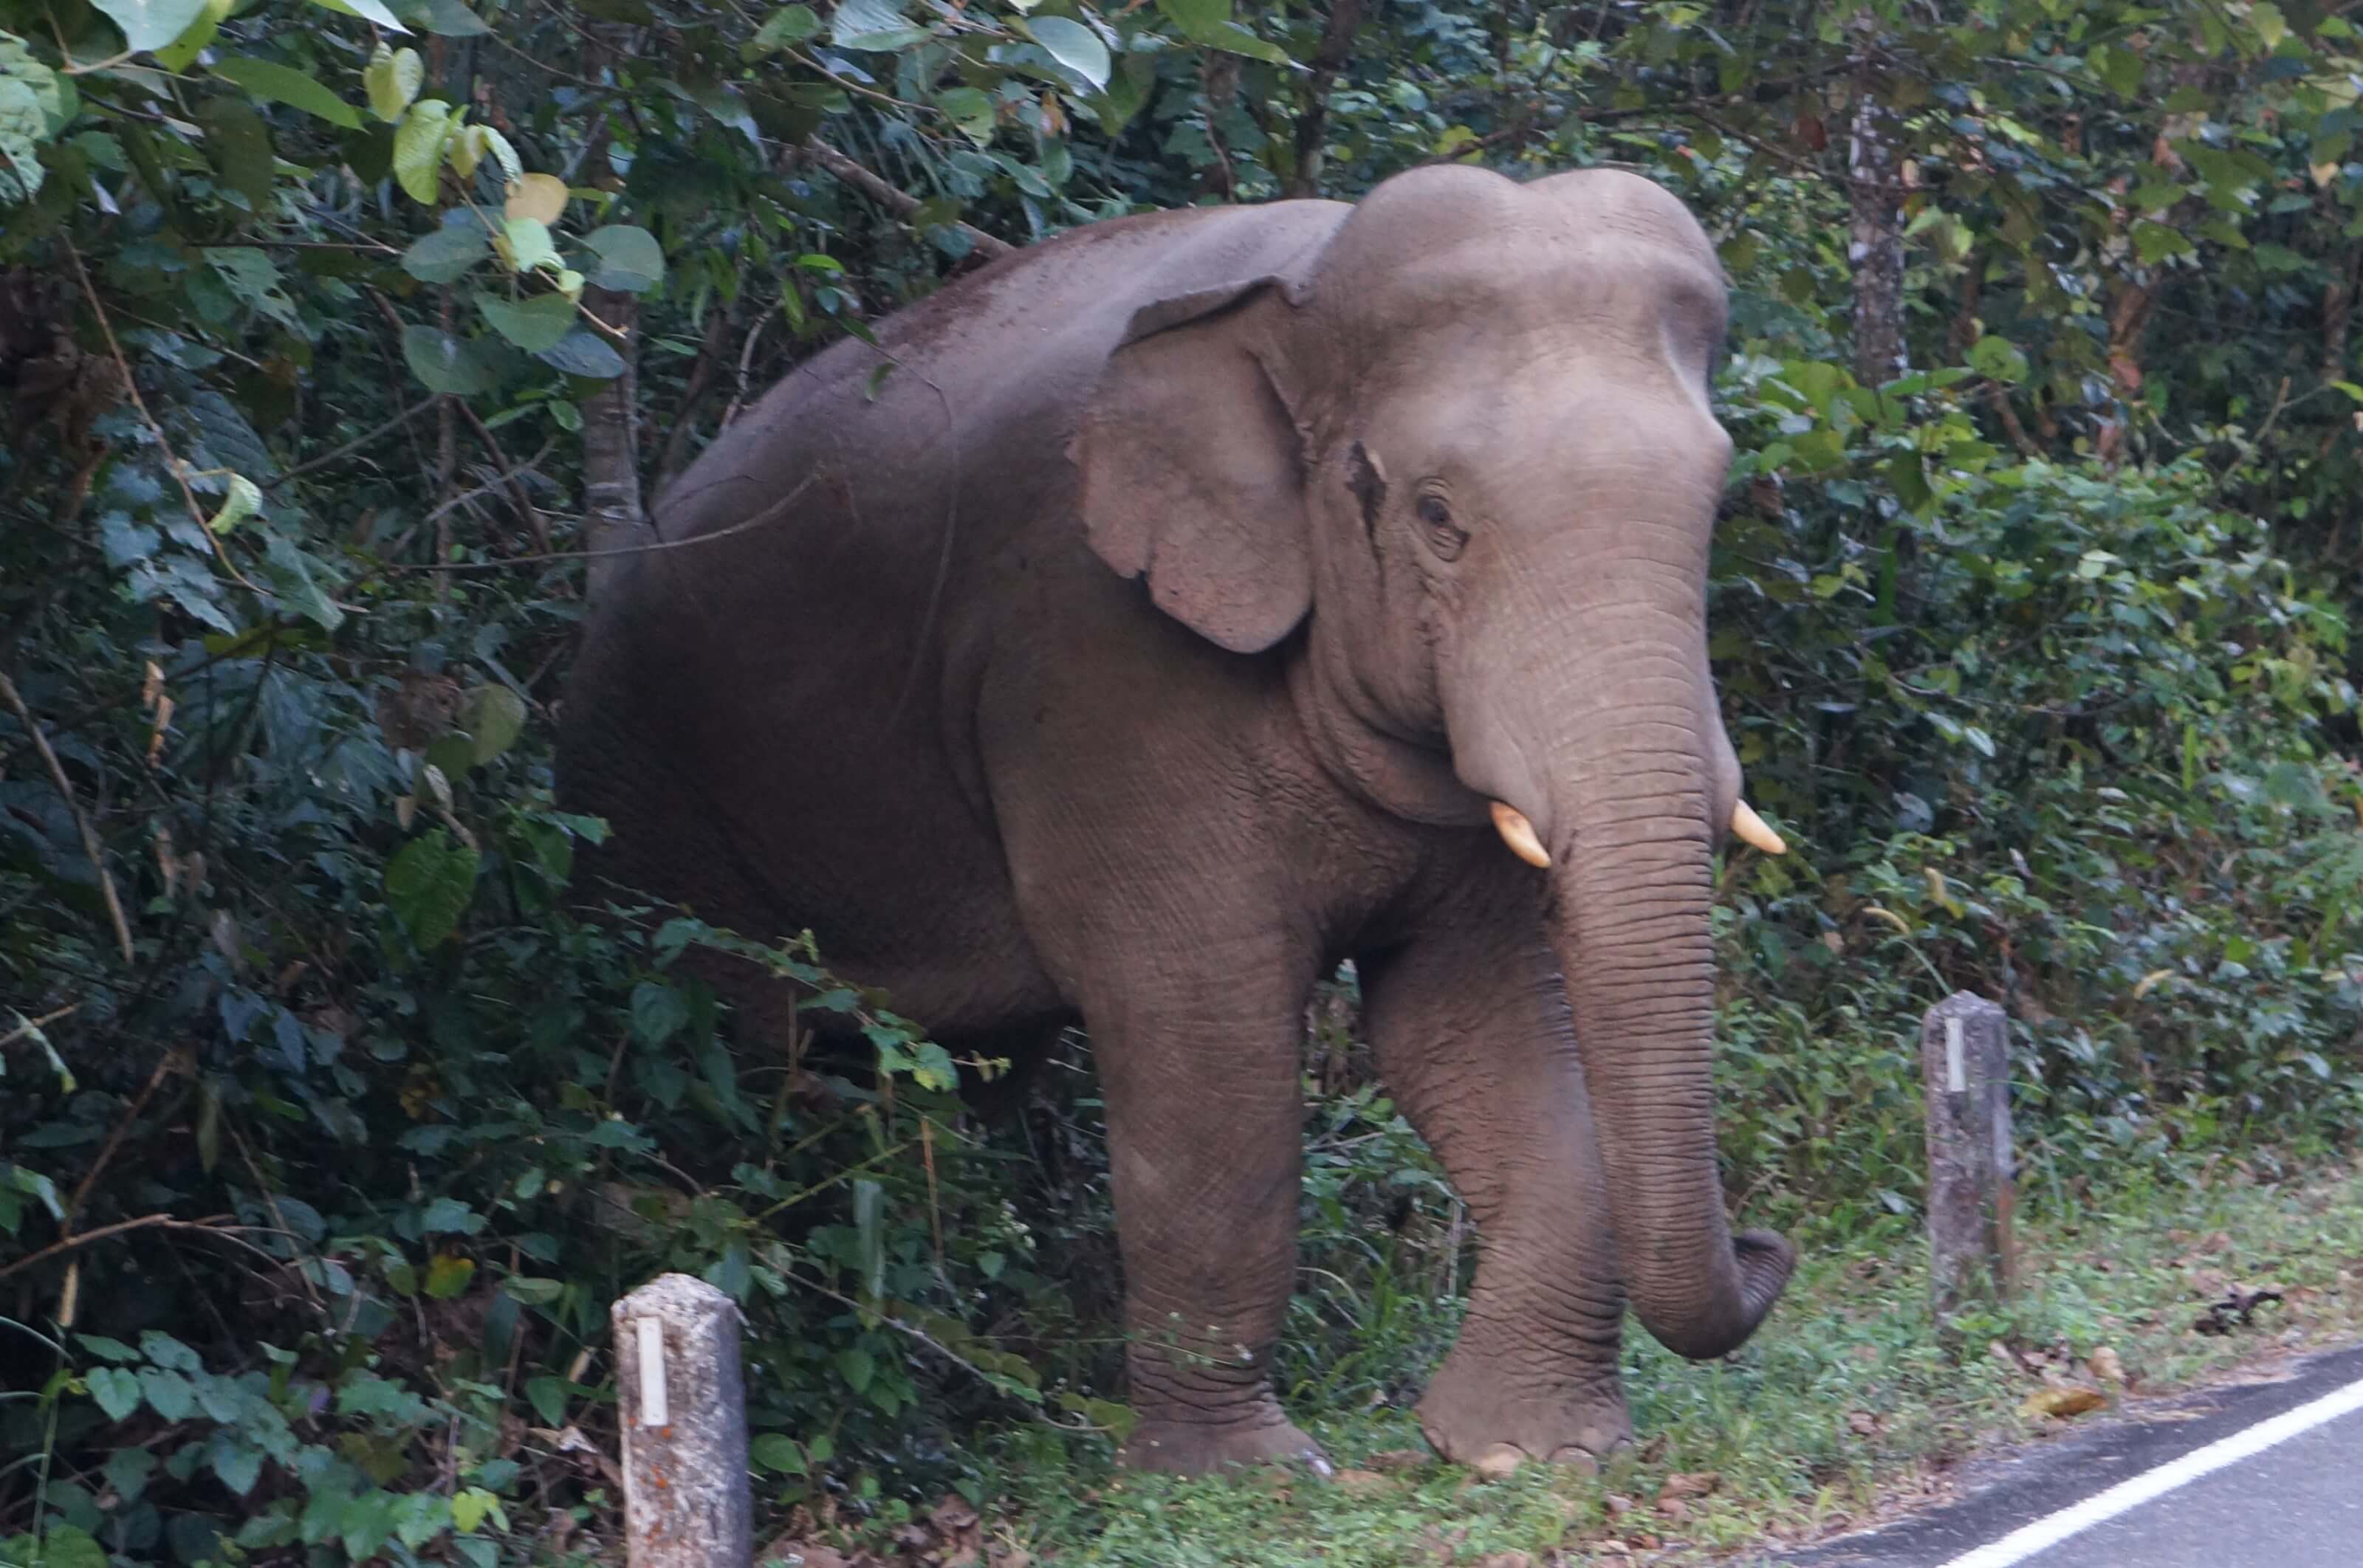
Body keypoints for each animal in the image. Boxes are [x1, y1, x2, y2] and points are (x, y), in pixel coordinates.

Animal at [552, 165, 1796, 1474]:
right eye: (1438, 515)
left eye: (1717, 500)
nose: (1770, 1246)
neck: (1301, 289)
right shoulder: (1093, 666)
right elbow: (1201, 1030)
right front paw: (1247, 1476)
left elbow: (1471, 1019)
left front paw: (1529, 1452)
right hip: (646, 817)